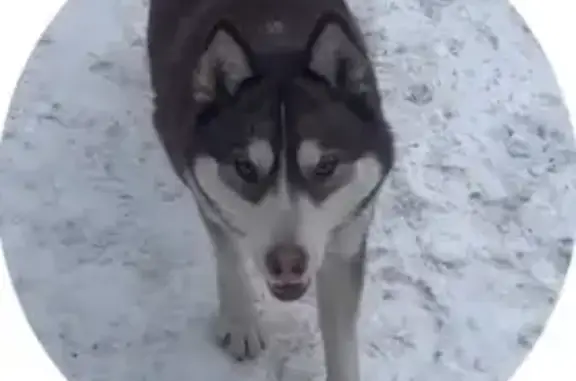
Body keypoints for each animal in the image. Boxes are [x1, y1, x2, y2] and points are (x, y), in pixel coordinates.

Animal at [146, 0, 394, 378]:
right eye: (246, 168)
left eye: (325, 166)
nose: (287, 263)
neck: (275, 35)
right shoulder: (201, 187)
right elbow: (229, 254)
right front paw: (241, 322)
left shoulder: (348, 236)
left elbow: (340, 337)